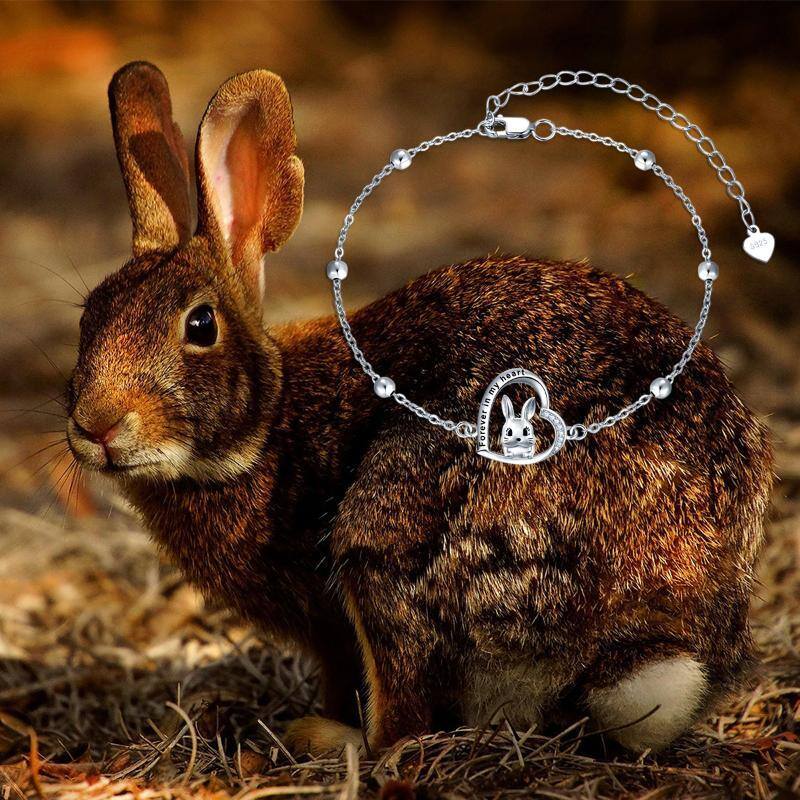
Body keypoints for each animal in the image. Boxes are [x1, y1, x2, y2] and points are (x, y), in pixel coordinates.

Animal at [65, 61, 773, 757]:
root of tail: (647, 615)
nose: (95, 425)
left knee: (403, 721)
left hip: (385, 533)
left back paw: (326, 737)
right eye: (88, 316)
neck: (267, 426)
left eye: (201, 325)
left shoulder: (333, 625)